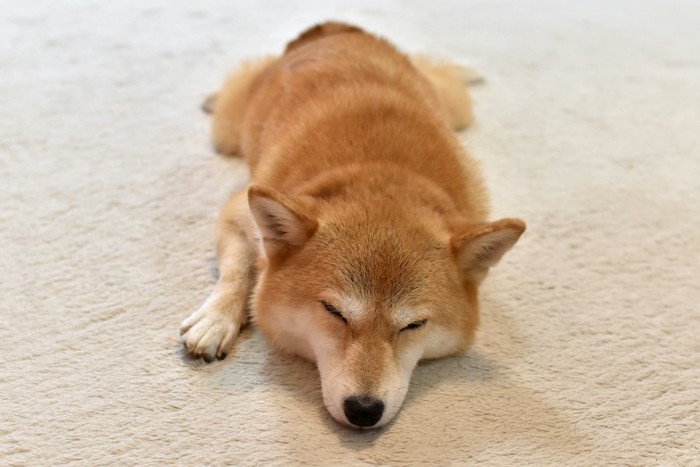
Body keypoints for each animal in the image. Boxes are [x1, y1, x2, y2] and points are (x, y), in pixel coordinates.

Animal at [180, 23, 524, 430]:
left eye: (414, 325)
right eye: (334, 312)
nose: (363, 410)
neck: (380, 174)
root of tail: (335, 28)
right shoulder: (238, 212)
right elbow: (237, 269)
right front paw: (216, 319)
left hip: (455, 110)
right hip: (228, 131)